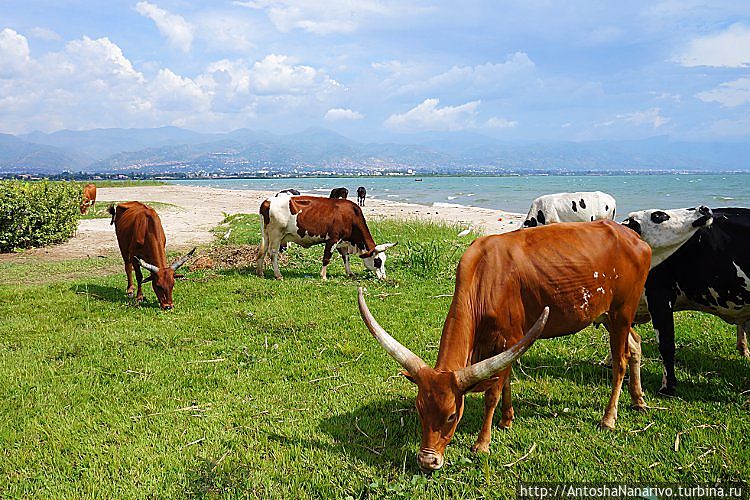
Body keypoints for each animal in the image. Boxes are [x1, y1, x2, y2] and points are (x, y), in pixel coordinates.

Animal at [258, 194, 396, 282]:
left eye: (384, 260)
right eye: (378, 261)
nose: (384, 278)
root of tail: (268, 201)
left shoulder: (343, 242)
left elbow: (346, 258)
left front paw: (350, 273)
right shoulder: (333, 239)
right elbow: (326, 258)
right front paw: (323, 276)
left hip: (266, 234)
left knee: (262, 251)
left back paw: (260, 272)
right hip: (276, 234)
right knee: (273, 254)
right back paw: (278, 275)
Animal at [362, 220, 656, 472]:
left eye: (452, 416)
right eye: (420, 410)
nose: (427, 461)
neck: (484, 277)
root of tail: (634, 238)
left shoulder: (512, 339)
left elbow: (492, 392)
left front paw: (482, 443)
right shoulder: (501, 345)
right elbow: (505, 381)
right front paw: (507, 419)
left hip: (622, 312)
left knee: (620, 362)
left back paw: (609, 418)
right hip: (607, 315)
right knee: (636, 345)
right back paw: (638, 400)